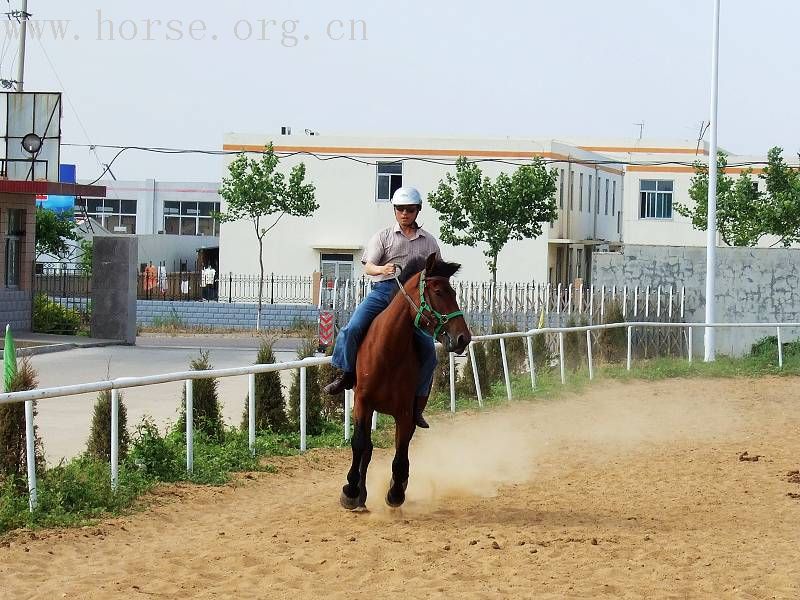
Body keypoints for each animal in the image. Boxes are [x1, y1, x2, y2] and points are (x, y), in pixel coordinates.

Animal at [340, 253, 472, 510]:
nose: (464, 337)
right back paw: (361, 494)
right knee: (367, 448)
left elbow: (401, 453)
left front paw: (396, 492)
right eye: (438, 291)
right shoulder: (362, 402)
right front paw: (351, 491)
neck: (387, 351)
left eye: (454, 292)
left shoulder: (404, 412)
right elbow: (360, 444)